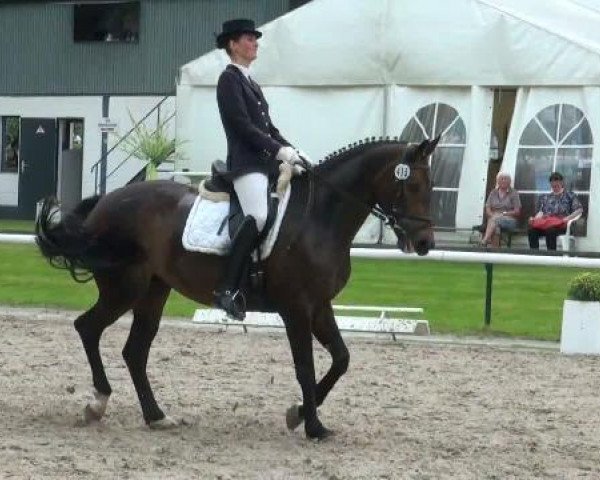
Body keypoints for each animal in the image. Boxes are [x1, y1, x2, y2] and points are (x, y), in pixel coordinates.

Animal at [35, 135, 438, 438]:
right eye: (413, 184)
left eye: (431, 185)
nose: (424, 243)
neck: (320, 217)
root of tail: (106, 200)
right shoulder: (296, 308)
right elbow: (305, 367)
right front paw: (313, 426)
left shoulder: (319, 305)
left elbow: (341, 359)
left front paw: (298, 414)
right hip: (124, 288)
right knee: (88, 328)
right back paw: (97, 402)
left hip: (153, 291)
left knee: (134, 350)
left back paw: (156, 416)